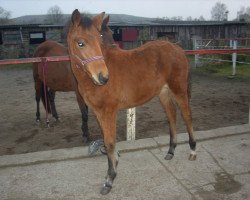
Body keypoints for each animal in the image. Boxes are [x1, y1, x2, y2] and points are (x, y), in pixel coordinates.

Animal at [67, 10, 196, 195]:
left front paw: (110, 179)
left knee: (187, 116)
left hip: (179, 90)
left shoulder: (108, 112)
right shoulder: (98, 112)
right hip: (164, 94)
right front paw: (113, 166)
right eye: (80, 43)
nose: (103, 77)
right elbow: (106, 140)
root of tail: (177, 48)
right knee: (172, 116)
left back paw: (193, 150)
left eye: (99, 40)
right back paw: (171, 151)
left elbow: (110, 142)